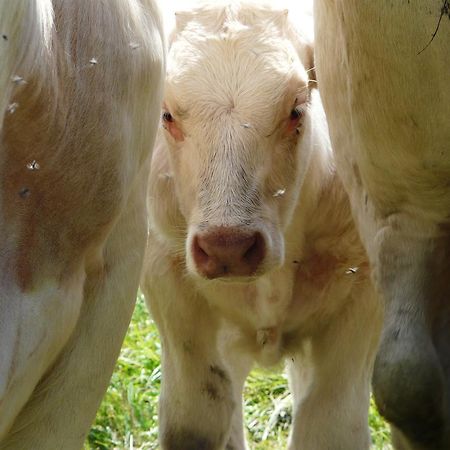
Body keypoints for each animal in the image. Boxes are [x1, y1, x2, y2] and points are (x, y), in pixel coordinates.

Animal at [142, 1, 384, 448]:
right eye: (166, 115)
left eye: (296, 110)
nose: (228, 247)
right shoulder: (168, 282)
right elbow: (197, 416)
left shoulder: (362, 293)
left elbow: (330, 425)